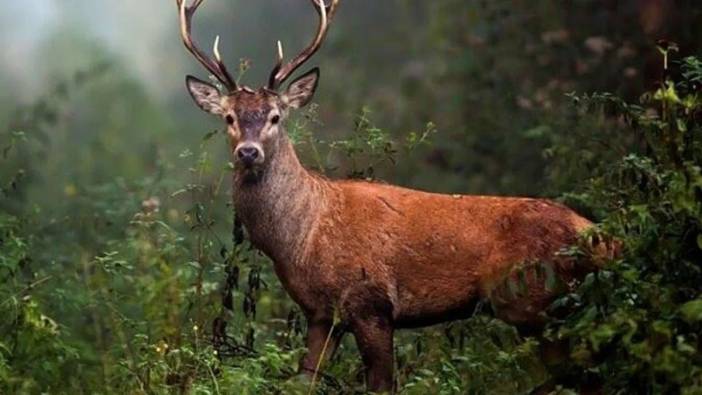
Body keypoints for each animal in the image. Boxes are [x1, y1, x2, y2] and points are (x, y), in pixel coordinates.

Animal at [177, 0, 616, 392]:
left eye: (275, 117)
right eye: (229, 117)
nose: (248, 152)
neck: (302, 239)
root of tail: (601, 238)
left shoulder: (372, 303)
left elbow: (381, 385)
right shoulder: (321, 313)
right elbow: (304, 381)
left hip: (534, 300)